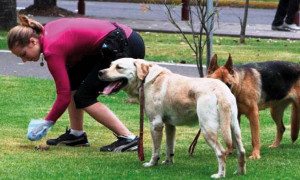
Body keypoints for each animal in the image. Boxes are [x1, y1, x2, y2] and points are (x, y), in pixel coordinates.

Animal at [98, 58, 246, 179]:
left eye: (119, 67)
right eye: (110, 65)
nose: (100, 72)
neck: (146, 79)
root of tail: (221, 91)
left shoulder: (155, 124)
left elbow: (155, 150)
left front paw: (152, 163)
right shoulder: (170, 125)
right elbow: (169, 147)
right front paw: (168, 162)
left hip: (207, 129)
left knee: (221, 152)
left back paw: (220, 175)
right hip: (234, 128)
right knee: (241, 151)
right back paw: (240, 172)